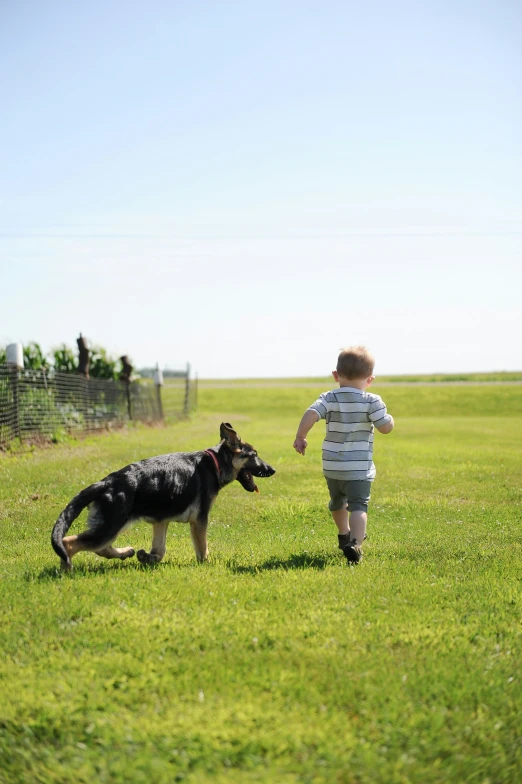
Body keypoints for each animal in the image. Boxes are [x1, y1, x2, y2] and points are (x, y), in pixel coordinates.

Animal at [50, 422, 274, 568]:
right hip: (112, 524)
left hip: (112, 524)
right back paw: (66, 571)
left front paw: (148, 558)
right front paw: (208, 565)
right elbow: (202, 549)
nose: (272, 470)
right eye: (254, 455)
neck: (215, 462)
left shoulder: (161, 521)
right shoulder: (199, 520)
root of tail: (106, 482)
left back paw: (126, 552)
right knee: (71, 543)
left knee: (100, 547)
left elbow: (160, 550)